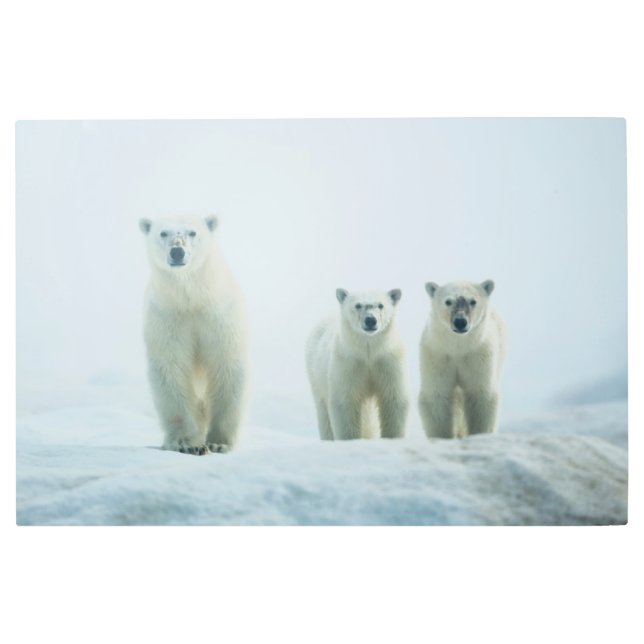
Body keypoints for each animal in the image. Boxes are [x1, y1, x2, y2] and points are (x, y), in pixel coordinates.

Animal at [139, 214, 249, 455]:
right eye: (163, 233)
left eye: (192, 232)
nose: (177, 252)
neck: (192, 298)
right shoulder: (168, 317)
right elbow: (171, 368)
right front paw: (188, 444)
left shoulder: (218, 316)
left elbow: (226, 365)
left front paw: (218, 442)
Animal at [305, 288, 409, 440]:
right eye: (358, 305)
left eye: (381, 305)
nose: (370, 320)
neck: (368, 352)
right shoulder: (348, 363)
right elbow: (345, 402)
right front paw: (350, 439)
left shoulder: (387, 361)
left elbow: (393, 399)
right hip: (316, 374)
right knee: (323, 410)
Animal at [418, 280, 506, 439]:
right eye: (448, 301)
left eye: (473, 301)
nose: (460, 322)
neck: (458, 348)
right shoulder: (438, 355)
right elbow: (437, 395)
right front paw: (443, 436)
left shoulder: (478, 355)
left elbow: (480, 395)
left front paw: (479, 434)